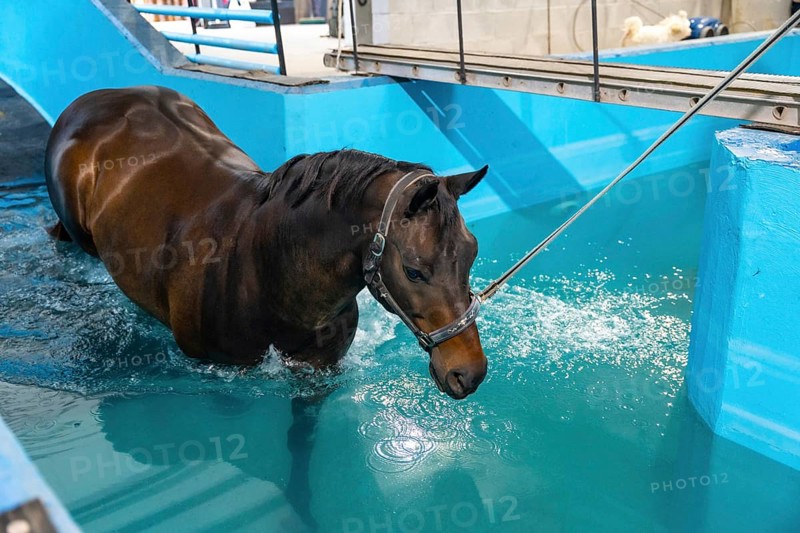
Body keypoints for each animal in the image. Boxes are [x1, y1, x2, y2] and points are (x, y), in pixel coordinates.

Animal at [44, 85, 489, 399]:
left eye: (471, 255)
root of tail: (91, 99)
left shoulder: (319, 370)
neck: (265, 268)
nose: (469, 372)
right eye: (414, 271)